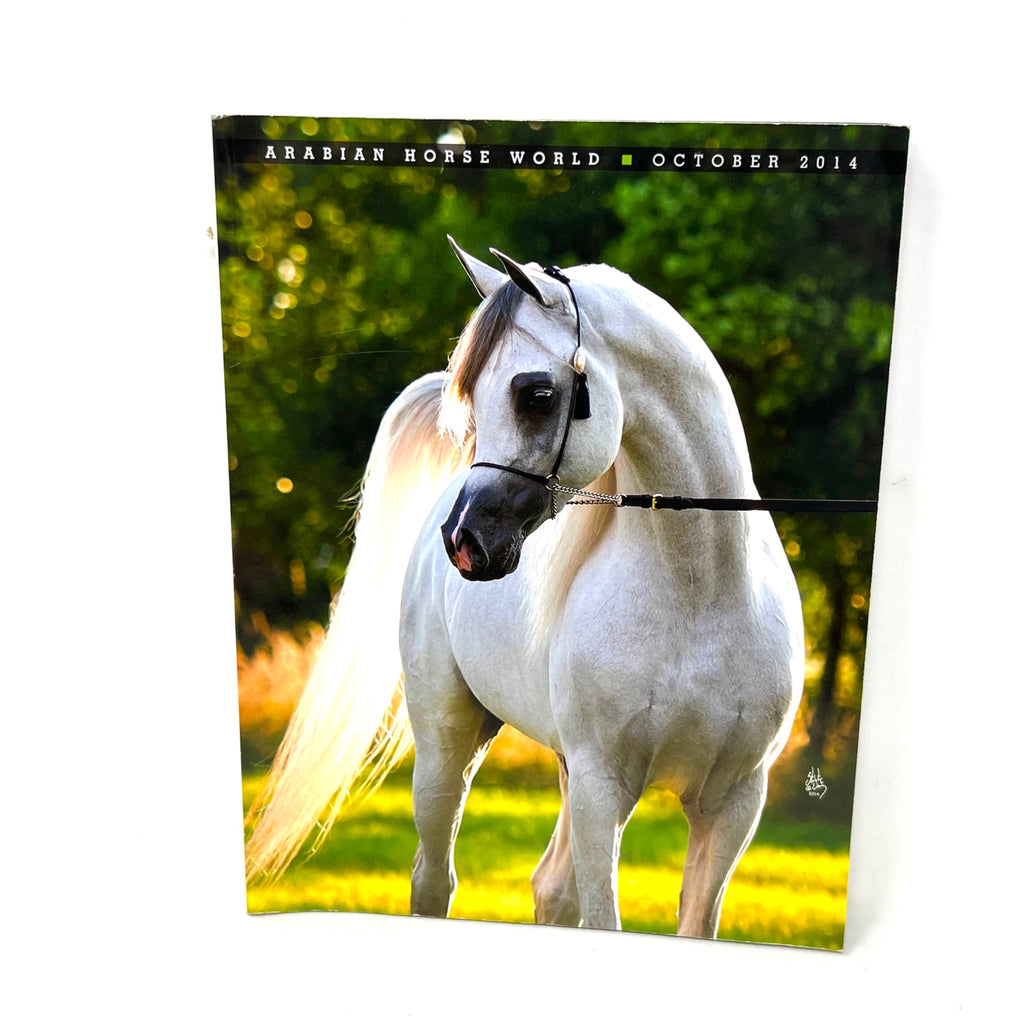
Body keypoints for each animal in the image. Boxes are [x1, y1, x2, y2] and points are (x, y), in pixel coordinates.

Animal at [244, 238, 804, 938]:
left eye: (536, 393)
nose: (464, 541)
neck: (700, 597)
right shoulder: (600, 789)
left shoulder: (731, 804)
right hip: (448, 746)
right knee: (434, 879)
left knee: (551, 890)